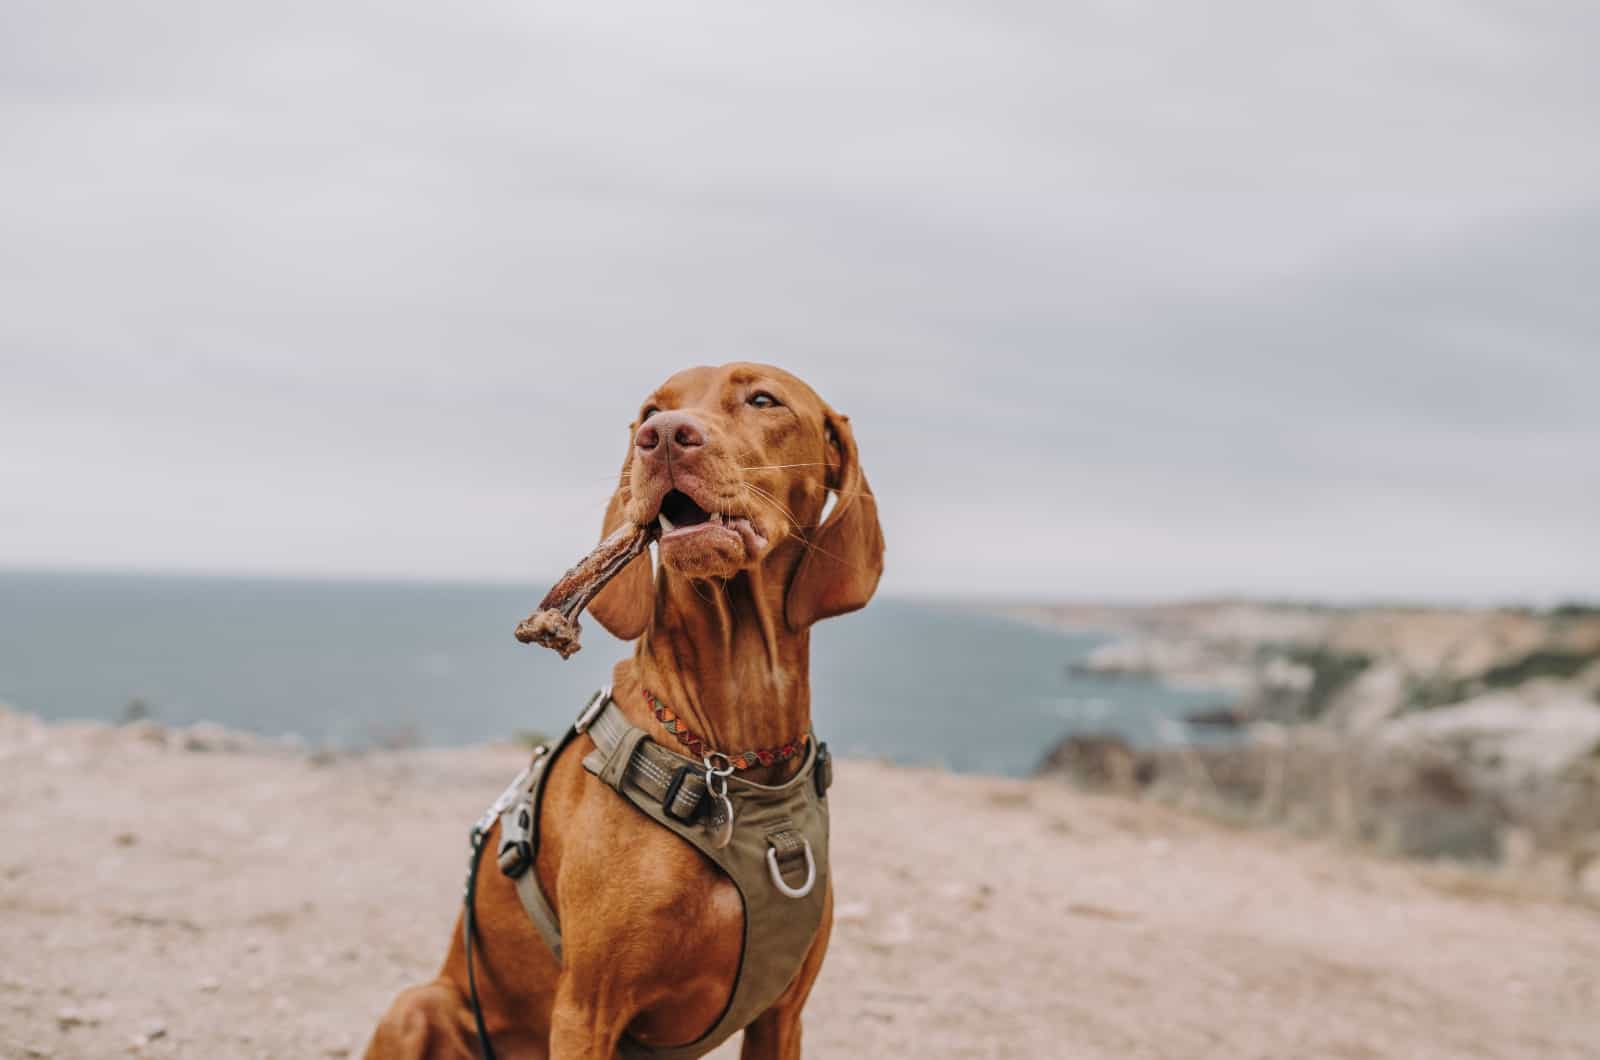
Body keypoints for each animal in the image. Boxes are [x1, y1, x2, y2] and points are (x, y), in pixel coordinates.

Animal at [366, 361, 889, 1056]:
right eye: (649, 412)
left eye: (762, 399)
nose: (663, 438)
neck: (728, 758)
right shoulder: (586, 1009)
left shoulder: (783, 1014)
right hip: (418, 1005)